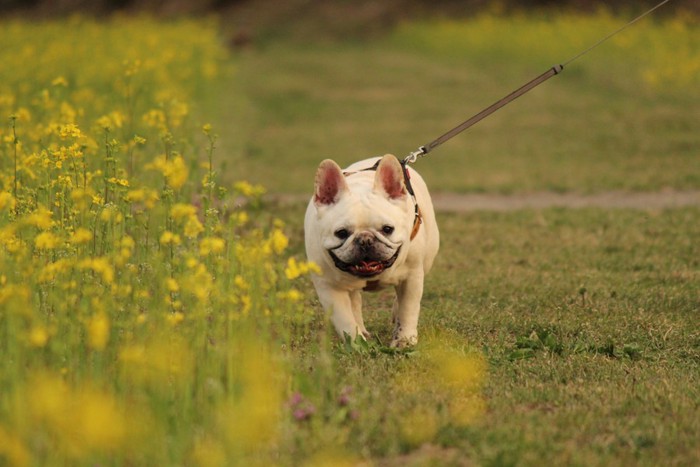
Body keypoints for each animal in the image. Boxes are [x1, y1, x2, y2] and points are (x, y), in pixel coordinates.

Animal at [304, 154, 440, 348]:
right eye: (341, 233)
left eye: (388, 229)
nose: (365, 240)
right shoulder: (329, 287)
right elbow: (345, 318)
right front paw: (356, 342)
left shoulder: (412, 277)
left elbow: (408, 309)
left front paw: (404, 340)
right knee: (354, 301)